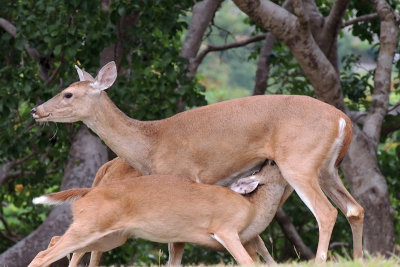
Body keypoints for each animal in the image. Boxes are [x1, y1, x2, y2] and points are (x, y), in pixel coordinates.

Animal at [30, 160, 288, 266]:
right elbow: (247, 261)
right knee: (45, 254)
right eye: (273, 163)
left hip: (109, 236)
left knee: (53, 246)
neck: (252, 208)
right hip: (90, 226)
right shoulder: (226, 229)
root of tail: (88, 191)